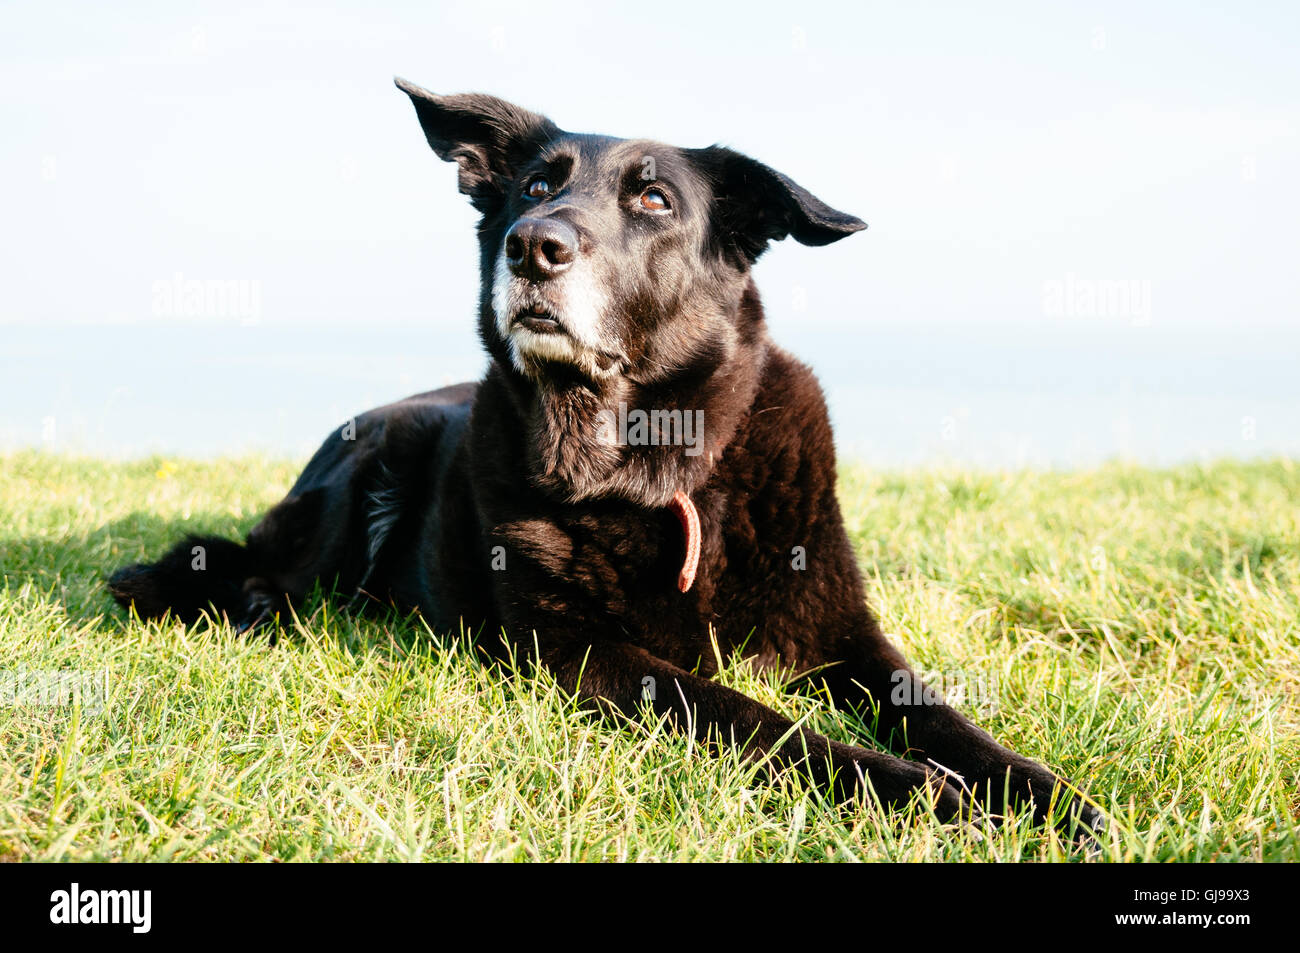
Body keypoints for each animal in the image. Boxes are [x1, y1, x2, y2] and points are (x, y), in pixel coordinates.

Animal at [111, 81, 1102, 837]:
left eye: (654, 200)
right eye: (531, 186)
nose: (533, 245)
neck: (655, 472)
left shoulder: (842, 632)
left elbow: (938, 709)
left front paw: (1046, 794)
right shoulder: (578, 651)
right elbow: (750, 714)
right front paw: (912, 787)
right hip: (369, 462)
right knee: (255, 561)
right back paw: (240, 600)